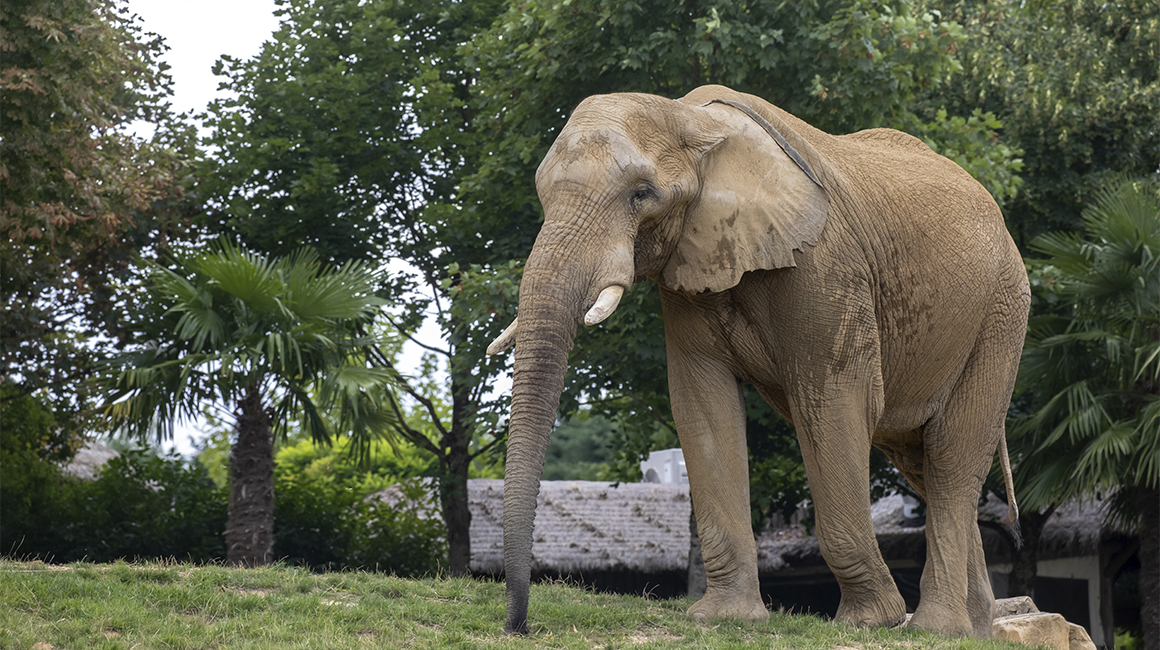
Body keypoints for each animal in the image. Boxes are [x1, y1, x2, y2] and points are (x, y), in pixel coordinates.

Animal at [486, 84, 1029, 638]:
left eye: (641, 194)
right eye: (541, 195)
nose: (518, 627)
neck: (690, 118)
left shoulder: (826, 264)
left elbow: (835, 402)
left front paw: (868, 622)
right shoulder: (688, 271)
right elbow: (703, 406)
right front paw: (723, 617)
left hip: (1002, 313)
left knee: (951, 455)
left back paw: (936, 629)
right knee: (922, 461)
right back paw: (976, 629)